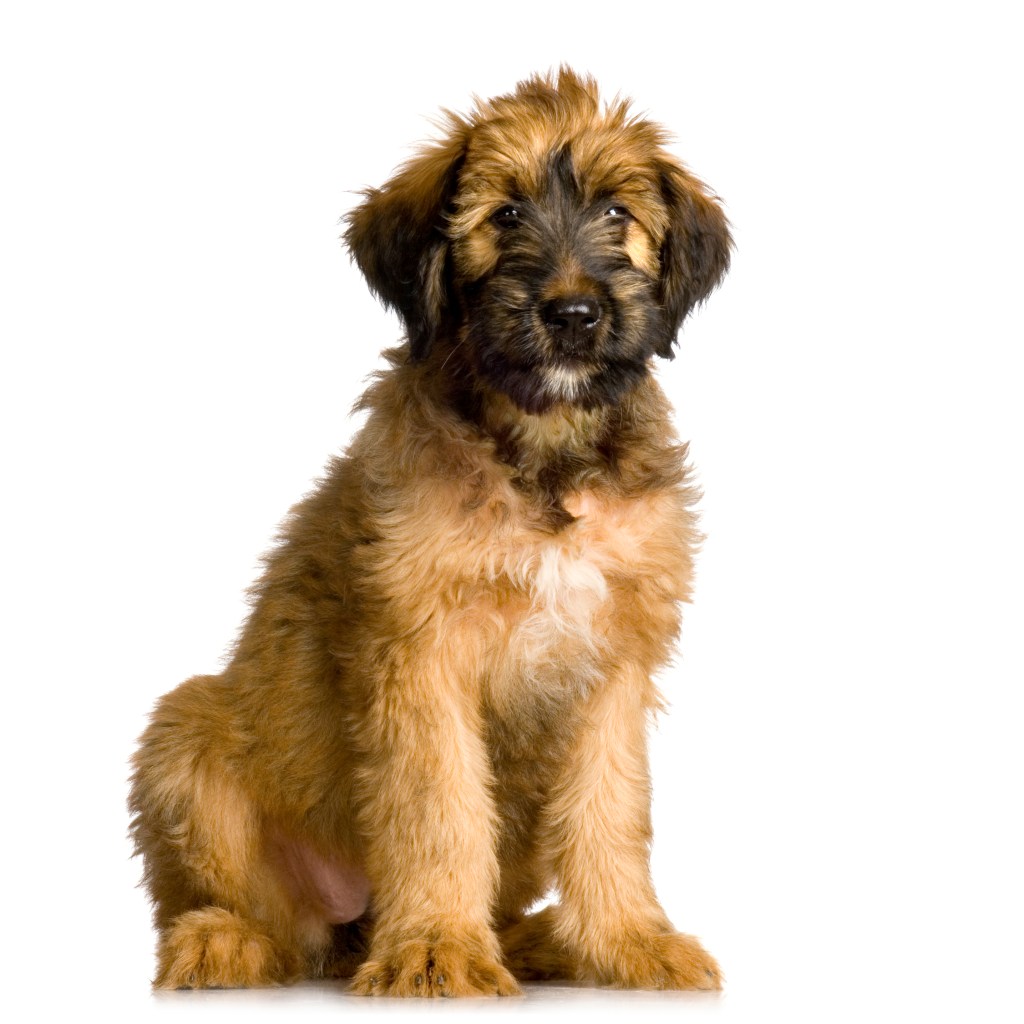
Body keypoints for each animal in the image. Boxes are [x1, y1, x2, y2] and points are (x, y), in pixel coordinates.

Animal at [128, 68, 733, 995]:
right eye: (506, 215)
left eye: (617, 213)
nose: (573, 314)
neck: (542, 456)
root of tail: (347, 924)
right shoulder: (419, 654)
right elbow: (437, 808)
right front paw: (436, 949)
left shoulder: (613, 665)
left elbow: (611, 811)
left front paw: (631, 939)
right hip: (187, 735)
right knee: (235, 911)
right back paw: (227, 942)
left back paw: (539, 941)